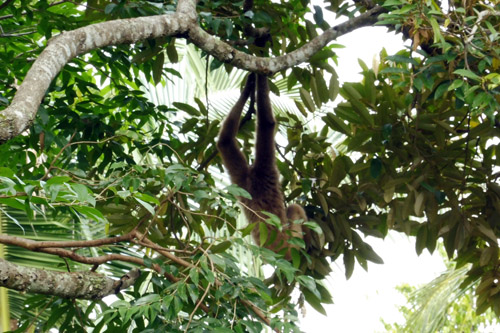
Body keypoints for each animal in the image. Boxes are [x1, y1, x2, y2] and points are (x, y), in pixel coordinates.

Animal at [217, 74, 306, 258]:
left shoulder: (240, 177)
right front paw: (260, 75)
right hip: (292, 245)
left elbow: (225, 142)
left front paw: (249, 86)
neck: (253, 177)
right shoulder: (267, 168)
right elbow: (267, 123)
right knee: (295, 208)